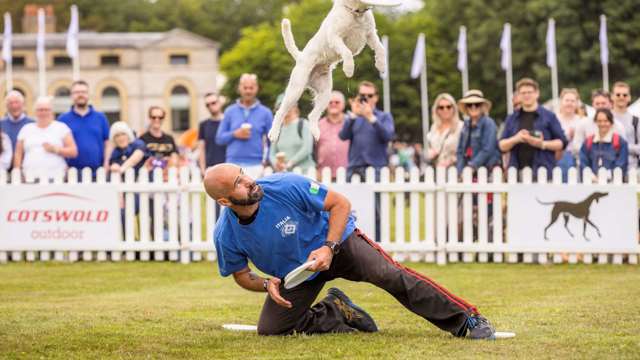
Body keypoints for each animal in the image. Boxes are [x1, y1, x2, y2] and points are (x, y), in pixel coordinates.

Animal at [266, 0, 398, 143]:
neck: (356, 12)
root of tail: (300, 56)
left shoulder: (371, 34)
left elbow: (381, 48)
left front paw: (381, 65)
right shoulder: (335, 37)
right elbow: (347, 52)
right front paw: (349, 68)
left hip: (325, 94)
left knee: (312, 115)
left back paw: (315, 132)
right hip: (295, 90)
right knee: (281, 112)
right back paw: (273, 134)